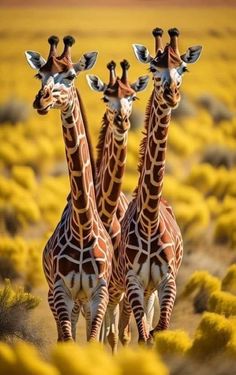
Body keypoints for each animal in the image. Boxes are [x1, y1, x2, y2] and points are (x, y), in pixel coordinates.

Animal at [24, 36, 113, 344]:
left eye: (71, 75)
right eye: (39, 74)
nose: (41, 100)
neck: (83, 227)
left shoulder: (99, 293)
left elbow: (93, 341)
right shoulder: (61, 291)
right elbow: (68, 342)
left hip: (84, 302)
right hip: (62, 299)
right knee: (66, 335)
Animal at [108, 26, 202, 346]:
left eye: (183, 67)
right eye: (153, 67)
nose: (172, 94)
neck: (150, 218)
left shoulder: (167, 280)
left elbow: (158, 332)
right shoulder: (135, 281)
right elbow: (144, 333)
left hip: (151, 290)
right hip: (131, 287)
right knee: (127, 328)